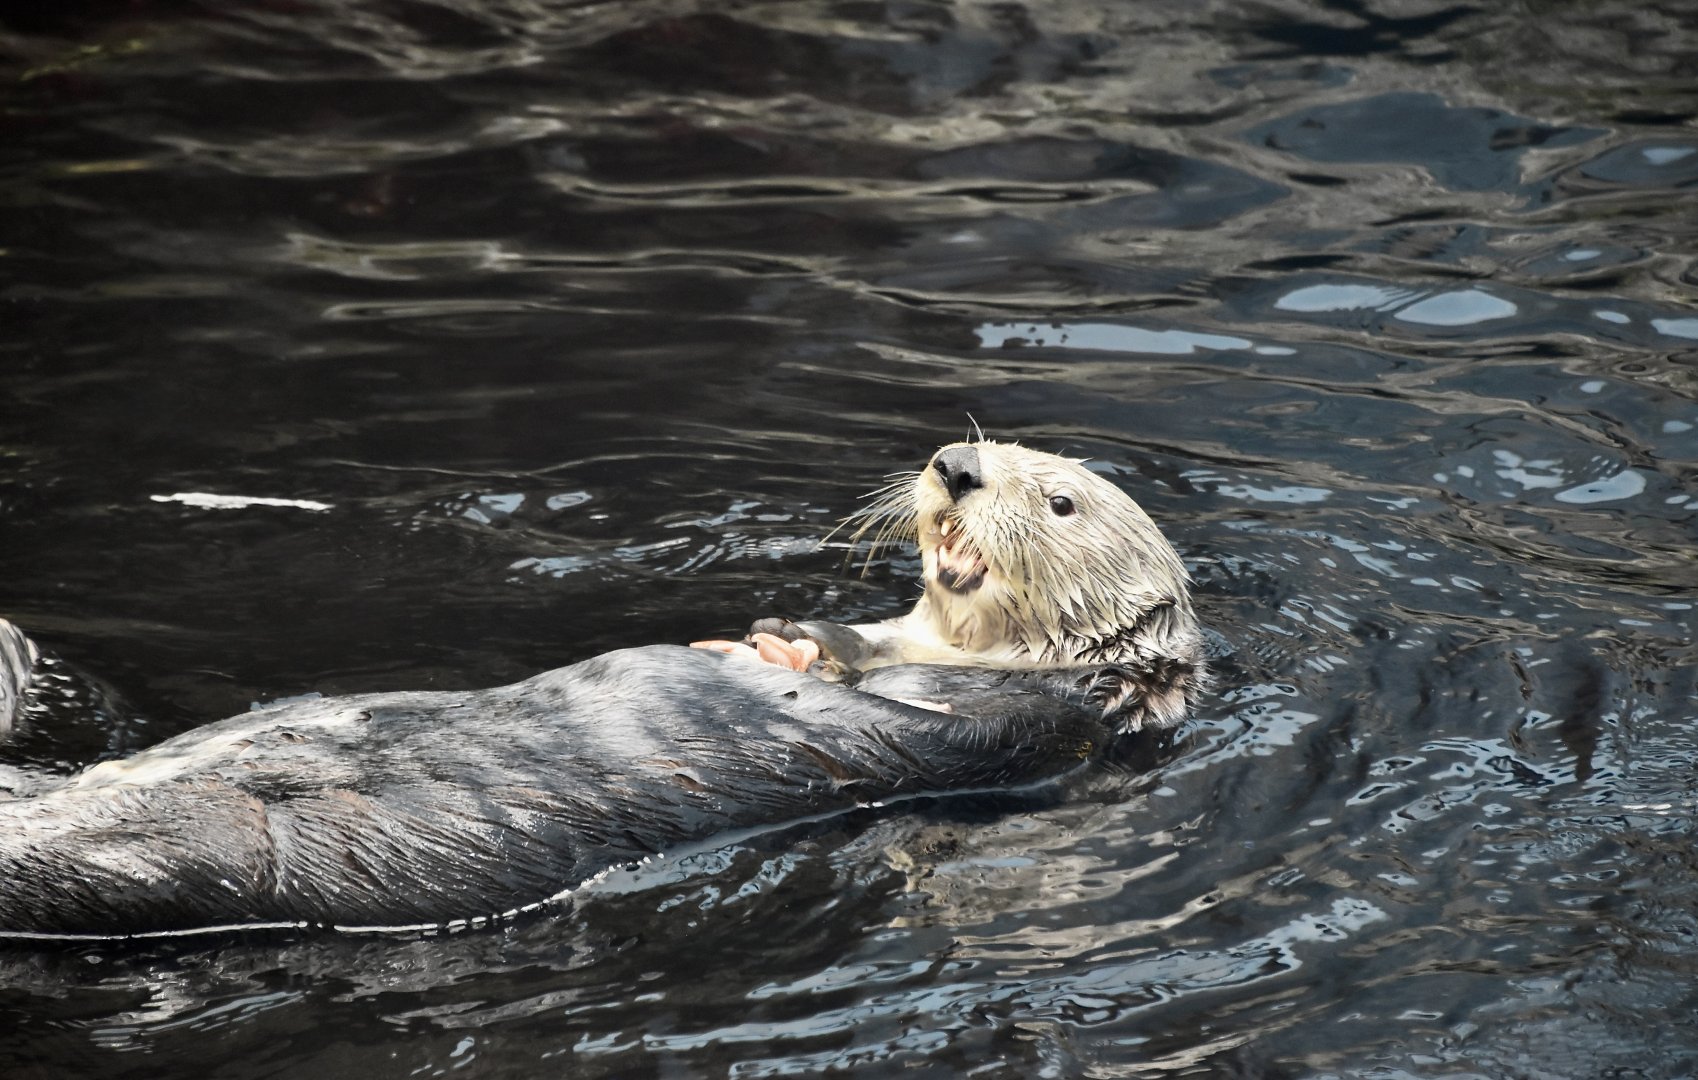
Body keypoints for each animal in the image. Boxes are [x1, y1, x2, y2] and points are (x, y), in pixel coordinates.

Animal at [0, 441, 1202, 937]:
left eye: (1059, 501)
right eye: (979, 445)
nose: (957, 467)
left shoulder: (1037, 716)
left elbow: (924, 709)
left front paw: (801, 654)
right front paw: (776, 639)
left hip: (212, 857)